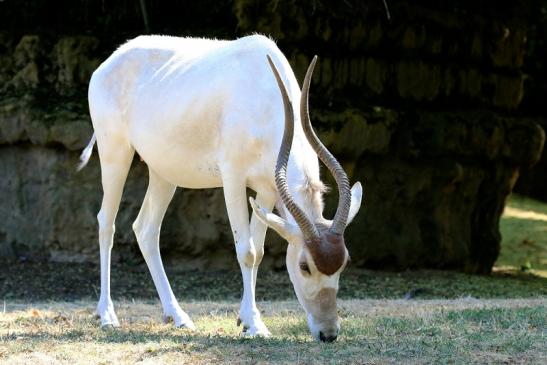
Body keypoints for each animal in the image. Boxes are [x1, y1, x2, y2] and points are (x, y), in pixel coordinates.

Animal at [79, 34, 364, 342]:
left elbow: (259, 252)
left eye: (344, 262)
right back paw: (107, 316)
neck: (264, 95)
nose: (328, 333)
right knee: (106, 224)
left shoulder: (267, 190)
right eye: (304, 266)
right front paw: (255, 324)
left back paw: (178, 316)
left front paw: (247, 320)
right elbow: (246, 252)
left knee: (146, 229)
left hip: (163, 172)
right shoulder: (233, 178)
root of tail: (108, 64)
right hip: (115, 153)